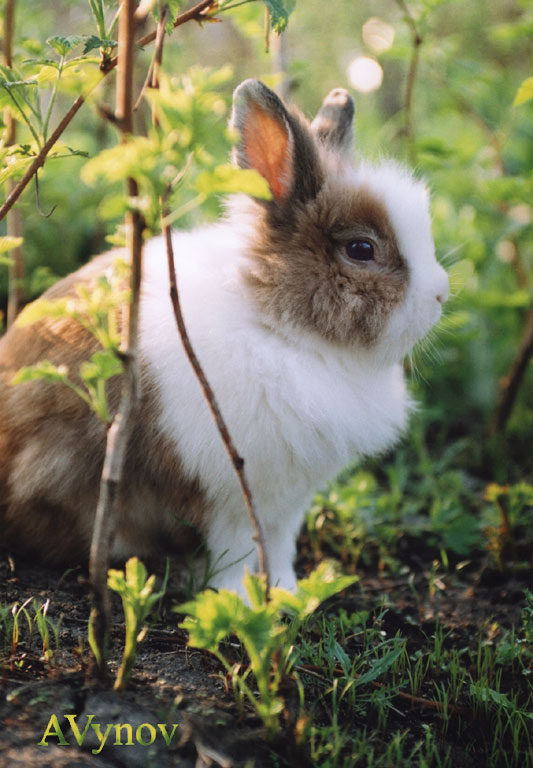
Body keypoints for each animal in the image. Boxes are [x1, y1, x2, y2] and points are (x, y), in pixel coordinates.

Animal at [0, 79, 448, 592]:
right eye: (360, 249)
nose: (441, 294)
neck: (280, 329)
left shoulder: (285, 502)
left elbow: (279, 547)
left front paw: (288, 593)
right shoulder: (228, 492)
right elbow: (236, 551)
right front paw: (238, 598)